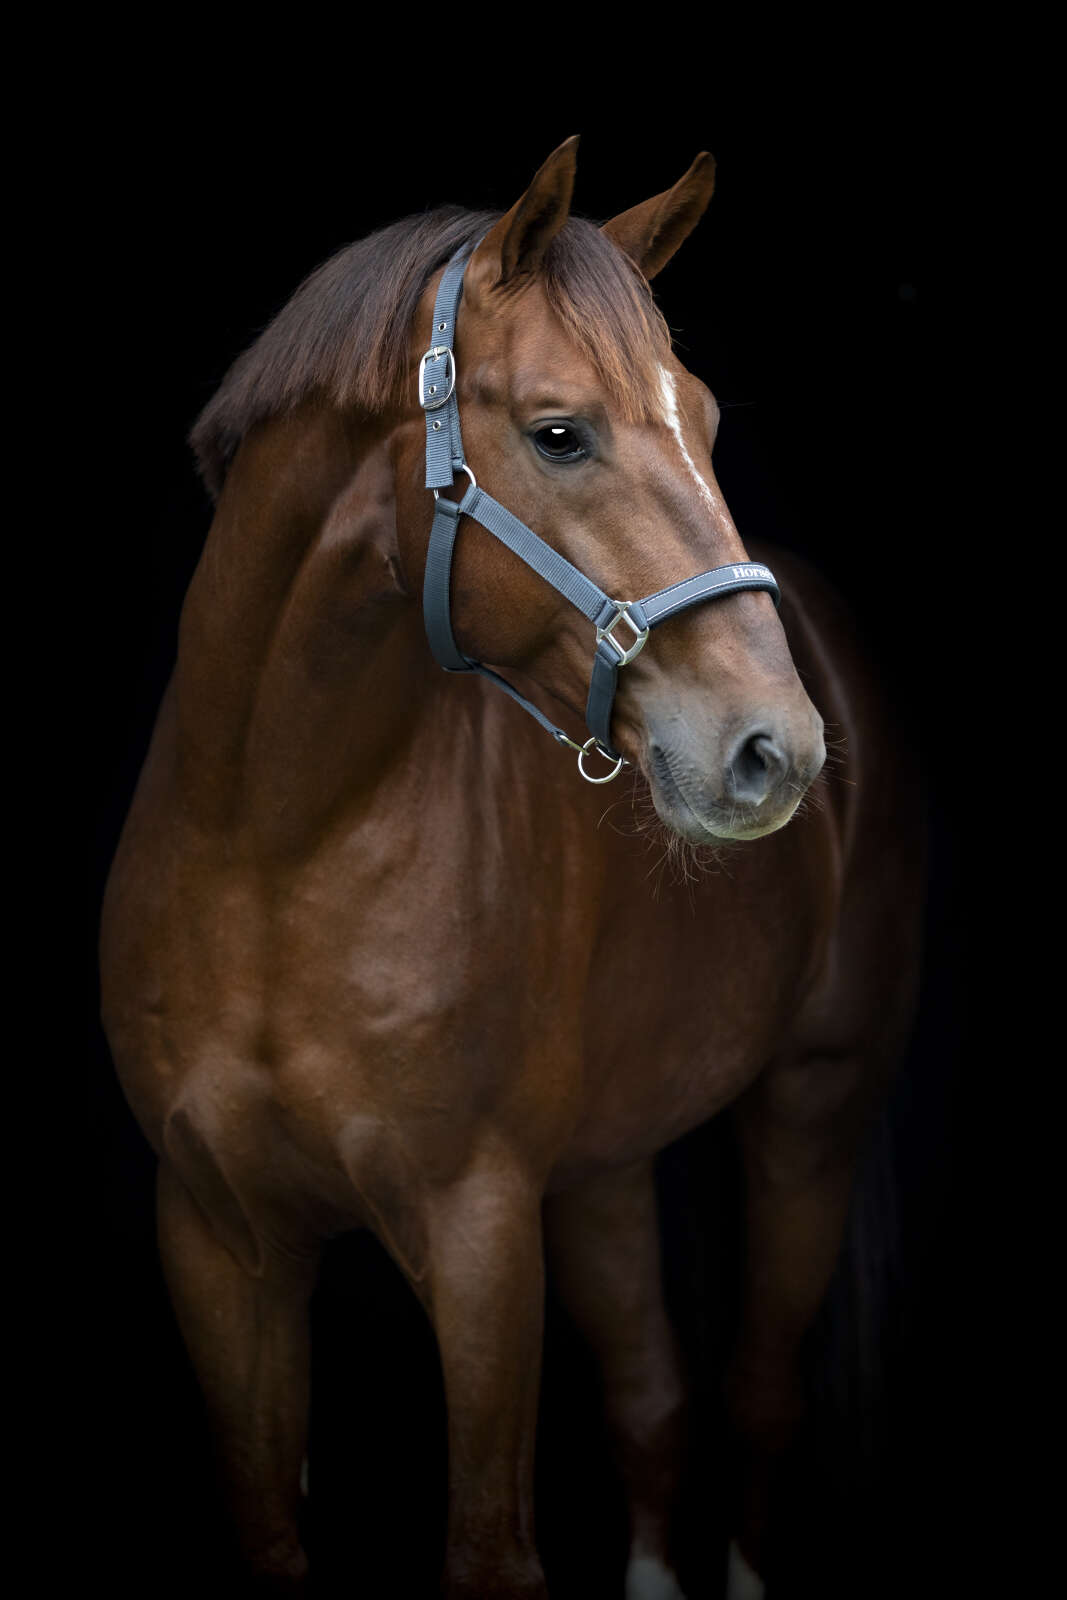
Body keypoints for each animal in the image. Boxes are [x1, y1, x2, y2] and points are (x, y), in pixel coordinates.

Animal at [99, 136, 925, 1598]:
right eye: (557, 432)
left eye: (706, 421)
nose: (772, 749)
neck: (271, 851)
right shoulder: (215, 1239)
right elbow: (268, 1519)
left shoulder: (476, 1235)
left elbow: (491, 1546)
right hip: (599, 1170)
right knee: (651, 1404)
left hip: (808, 1112)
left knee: (754, 1398)